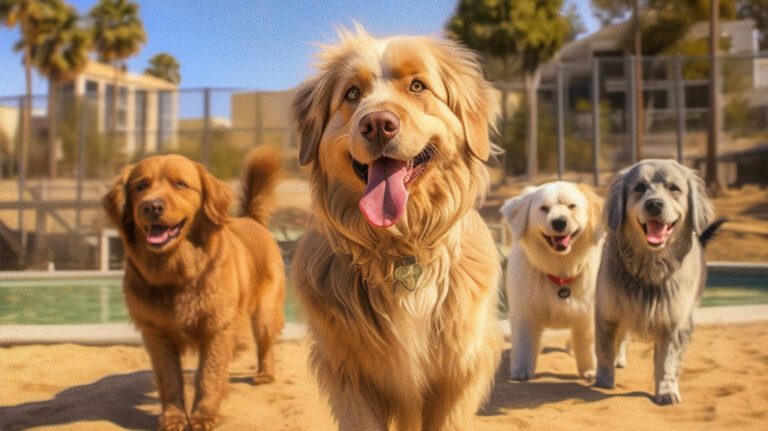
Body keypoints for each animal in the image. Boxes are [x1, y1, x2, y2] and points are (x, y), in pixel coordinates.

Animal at [100, 147, 284, 430]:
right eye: (140, 186)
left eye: (181, 184)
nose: (152, 206)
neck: (175, 274)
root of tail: (251, 218)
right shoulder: (157, 334)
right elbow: (170, 380)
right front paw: (174, 416)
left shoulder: (217, 329)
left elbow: (209, 375)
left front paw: (204, 415)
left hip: (264, 312)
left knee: (264, 344)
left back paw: (264, 373)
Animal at [292, 27, 500, 431]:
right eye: (352, 94)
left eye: (418, 86)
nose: (377, 124)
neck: (401, 249)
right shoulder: (349, 374)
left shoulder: (458, 372)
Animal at [592, 159, 728, 404]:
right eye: (639, 188)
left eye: (674, 188)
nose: (654, 204)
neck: (650, 267)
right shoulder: (608, 311)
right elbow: (605, 350)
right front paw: (603, 381)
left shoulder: (671, 320)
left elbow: (666, 361)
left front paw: (666, 390)